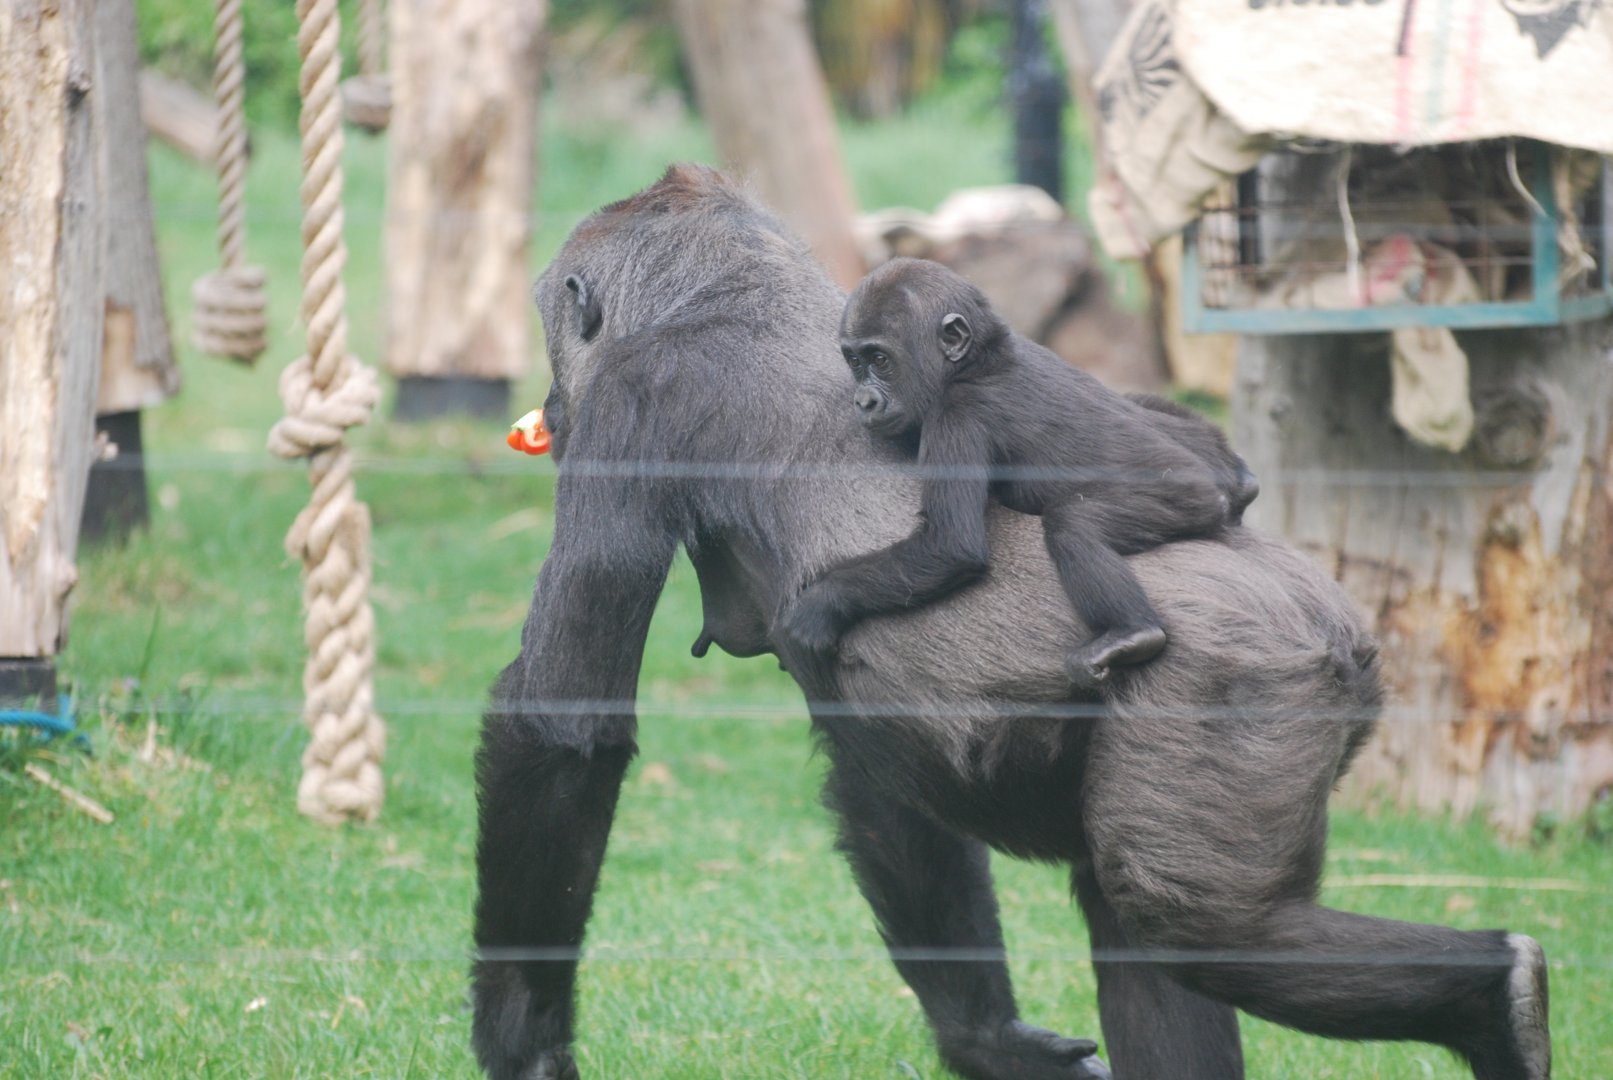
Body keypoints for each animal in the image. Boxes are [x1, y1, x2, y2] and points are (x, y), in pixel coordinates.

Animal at [782, 258, 1259, 688]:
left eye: (879, 360)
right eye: (854, 362)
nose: (863, 401)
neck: (977, 361)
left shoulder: (957, 416)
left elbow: (951, 544)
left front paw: (823, 603)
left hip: (1183, 496)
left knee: (1073, 524)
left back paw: (1133, 634)